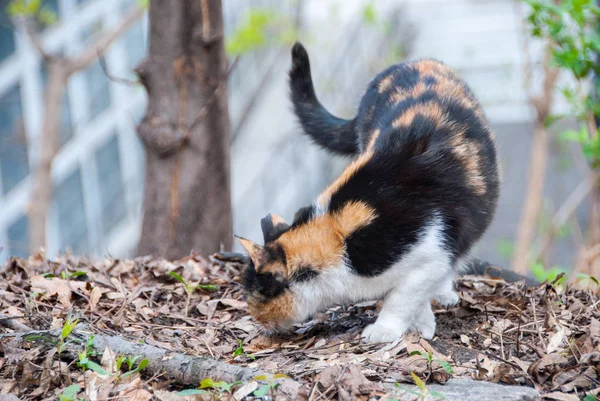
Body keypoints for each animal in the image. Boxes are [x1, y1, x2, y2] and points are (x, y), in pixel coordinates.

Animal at [237, 42, 500, 342]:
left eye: (260, 293)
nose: (256, 319)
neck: (340, 237)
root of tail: (414, 62)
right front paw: (423, 323)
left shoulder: (430, 253)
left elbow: (403, 296)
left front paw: (386, 330)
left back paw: (443, 293)